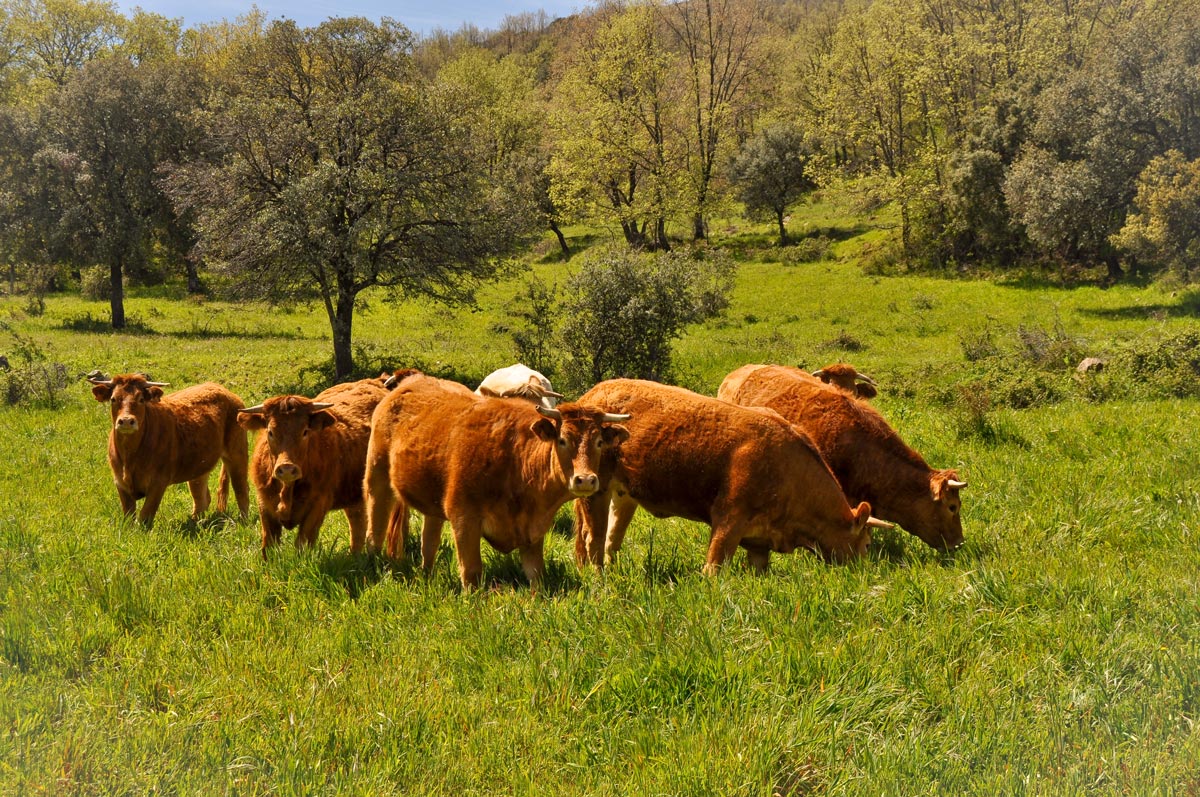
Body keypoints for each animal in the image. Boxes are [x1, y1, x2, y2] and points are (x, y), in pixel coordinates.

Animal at [88, 374, 250, 525]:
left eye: (141, 399)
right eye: (113, 399)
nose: (127, 421)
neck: (130, 457)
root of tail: (222, 389)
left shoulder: (158, 483)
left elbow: (145, 516)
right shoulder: (120, 483)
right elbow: (129, 517)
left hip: (237, 453)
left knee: (241, 489)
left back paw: (243, 522)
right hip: (199, 466)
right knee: (201, 497)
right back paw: (196, 522)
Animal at [241, 379, 391, 554]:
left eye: (305, 431)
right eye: (270, 432)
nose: (287, 468)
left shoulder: (318, 505)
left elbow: (303, 543)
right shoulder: (264, 505)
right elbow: (269, 545)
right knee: (357, 524)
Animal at [362, 376, 628, 588]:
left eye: (599, 442)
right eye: (562, 440)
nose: (585, 480)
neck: (516, 461)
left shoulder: (533, 532)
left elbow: (537, 576)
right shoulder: (464, 520)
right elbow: (471, 573)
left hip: (432, 504)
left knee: (429, 541)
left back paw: (426, 575)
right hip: (377, 478)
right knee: (375, 526)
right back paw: (372, 562)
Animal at [566, 379, 888, 573]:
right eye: (867, 545)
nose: (864, 572)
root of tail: (594, 394)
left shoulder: (759, 543)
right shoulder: (728, 521)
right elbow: (714, 568)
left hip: (623, 495)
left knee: (610, 538)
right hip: (595, 490)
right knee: (592, 538)